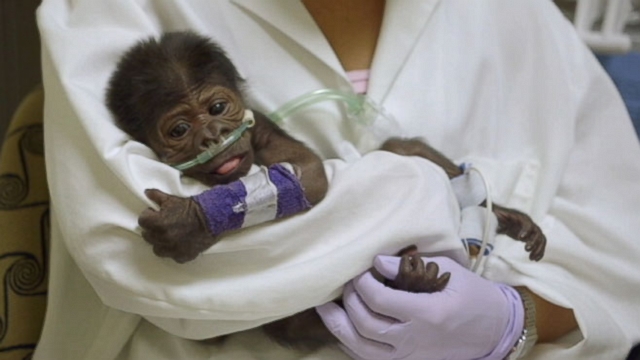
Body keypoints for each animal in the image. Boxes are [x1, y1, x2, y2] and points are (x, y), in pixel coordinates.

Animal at [105, 31, 544, 352]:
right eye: (179, 130)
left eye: (216, 108)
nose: (212, 136)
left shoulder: (260, 126)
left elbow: (308, 173)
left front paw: (188, 223)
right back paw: (411, 284)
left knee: (402, 150)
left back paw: (503, 219)